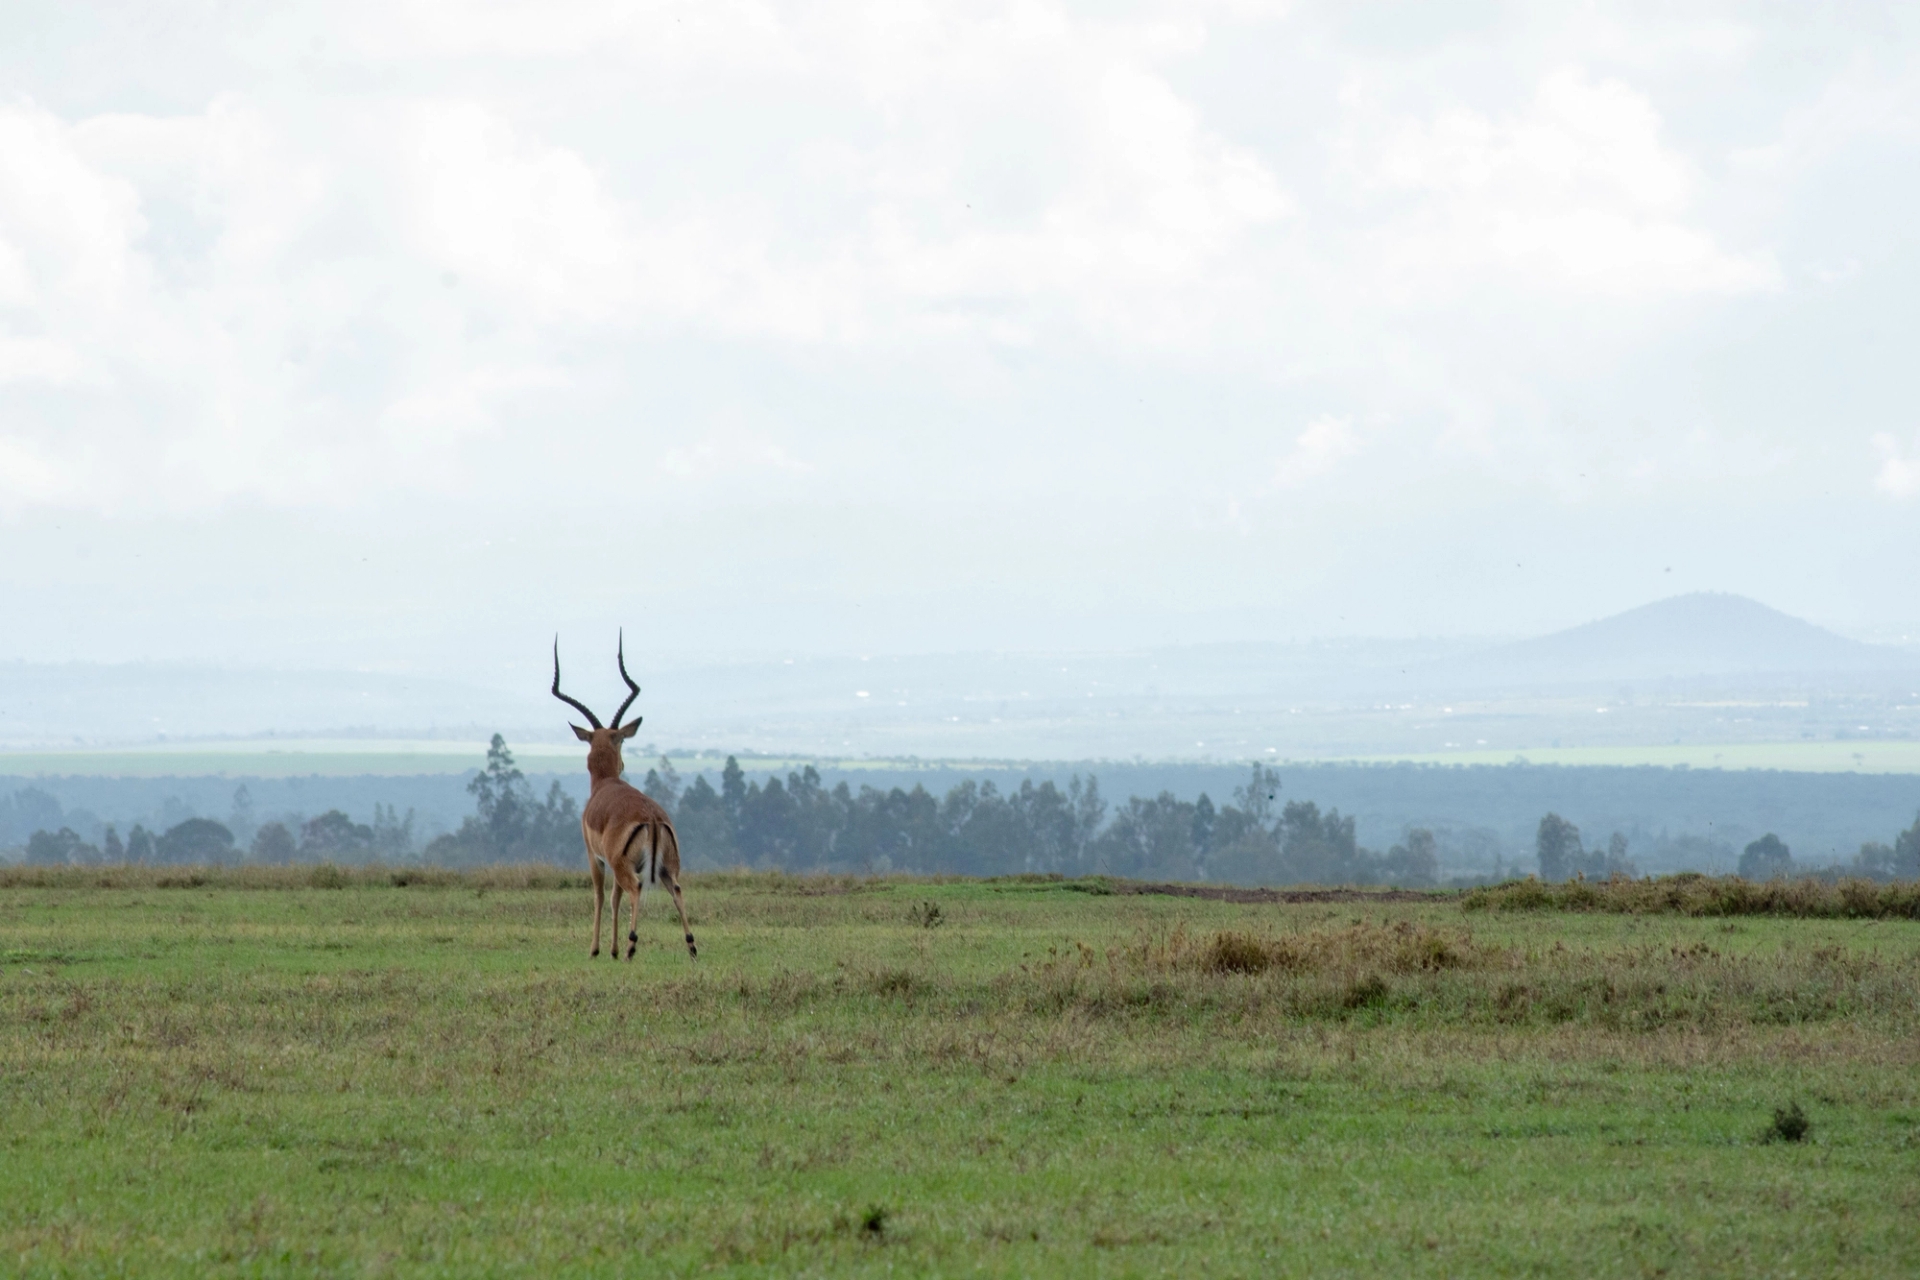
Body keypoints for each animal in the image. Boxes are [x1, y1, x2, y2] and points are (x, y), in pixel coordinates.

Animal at [551, 635, 697, 961]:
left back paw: (631, 946)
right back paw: (692, 946)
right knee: (677, 890)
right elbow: (614, 898)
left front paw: (597, 949)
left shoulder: (595, 857)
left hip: (625, 866)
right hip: (668, 867)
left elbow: (601, 896)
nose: (623, 764)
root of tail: (652, 818)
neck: (605, 783)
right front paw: (612, 949)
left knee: (636, 889)